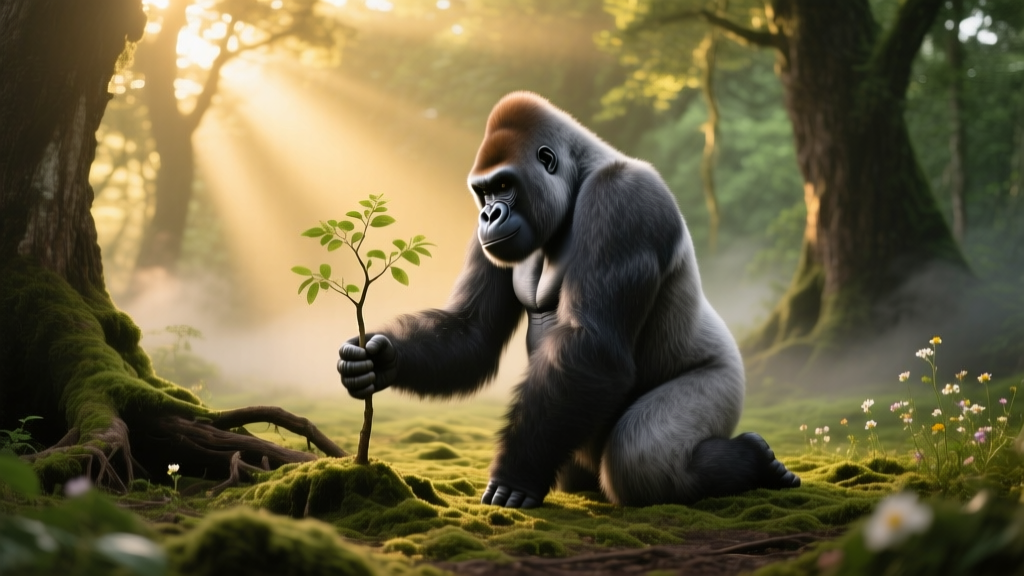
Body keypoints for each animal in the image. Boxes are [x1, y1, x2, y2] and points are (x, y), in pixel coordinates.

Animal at [338, 91, 800, 508]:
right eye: (484, 193)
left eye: (504, 185)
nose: (489, 215)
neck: (581, 174)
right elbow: (472, 332)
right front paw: (380, 357)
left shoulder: (623, 198)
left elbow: (592, 345)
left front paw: (514, 477)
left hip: (725, 382)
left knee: (640, 457)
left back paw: (757, 460)